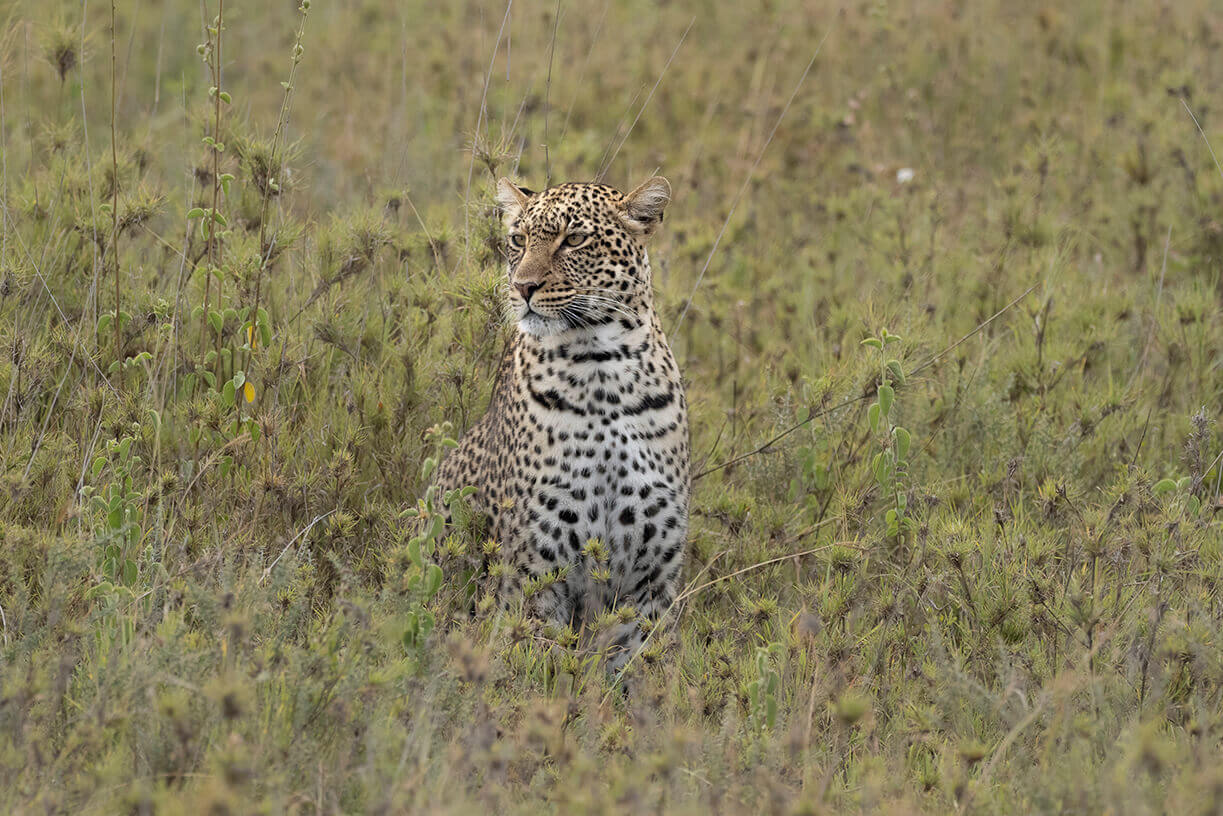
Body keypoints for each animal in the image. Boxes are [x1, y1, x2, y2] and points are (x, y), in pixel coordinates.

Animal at [434, 175, 690, 672]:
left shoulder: (651, 583)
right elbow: (538, 673)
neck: (602, 370)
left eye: (573, 240)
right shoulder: (536, 578)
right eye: (518, 241)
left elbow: (643, 675)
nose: (522, 287)